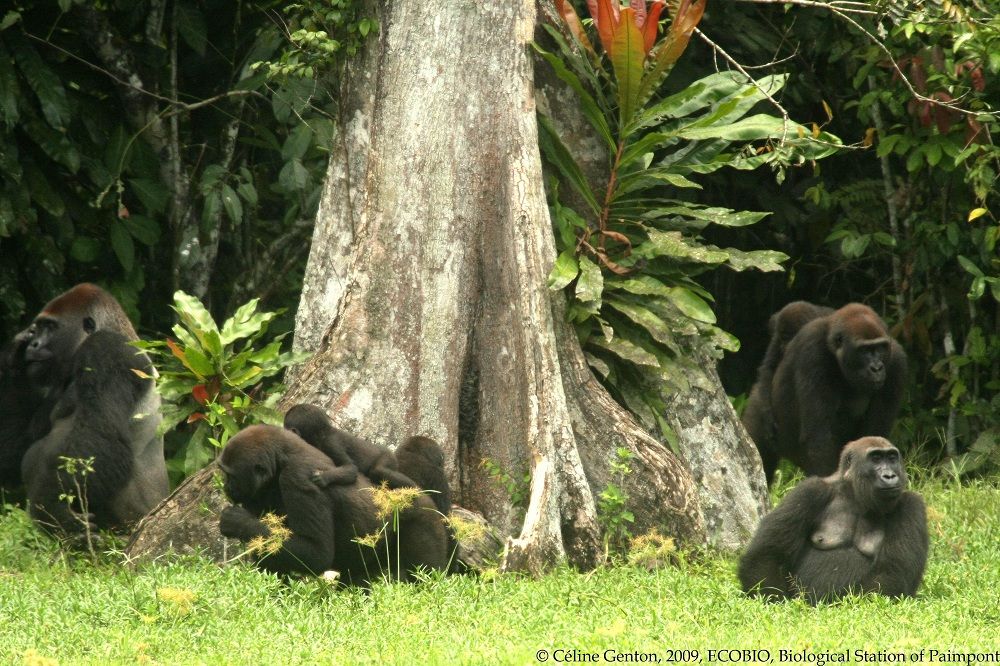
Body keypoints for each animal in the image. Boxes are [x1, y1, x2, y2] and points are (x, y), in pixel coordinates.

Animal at [0, 282, 166, 532]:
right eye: (35, 330)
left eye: (50, 327)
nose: (33, 345)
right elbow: (15, 451)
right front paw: (15, 359)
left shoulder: (107, 349)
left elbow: (101, 435)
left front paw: (53, 509)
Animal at [224, 426, 454, 580]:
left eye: (230, 475)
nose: (226, 488)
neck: (281, 457)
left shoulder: (297, 477)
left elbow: (316, 552)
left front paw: (237, 522)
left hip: (426, 517)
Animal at [284, 400, 452, 512]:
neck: (320, 434)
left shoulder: (331, 443)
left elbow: (350, 469)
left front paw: (324, 477)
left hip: (388, 457)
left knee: (379, 470)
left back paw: (412, 490)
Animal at [740, 436, 924, 600]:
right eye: (876, 458)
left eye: (892, 458)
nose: (890, 475)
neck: (854, 494)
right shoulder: (809, 490)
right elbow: (767, 556)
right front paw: (774, 600)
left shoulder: (912, 505)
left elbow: (892, 572)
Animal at [744, 300, 908, 482]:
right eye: (864, 351)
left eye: (880, 348)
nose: (877, 368)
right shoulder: (812, 351)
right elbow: (819, 438)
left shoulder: (897, 362)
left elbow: (875, 436)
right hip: (758, 404)